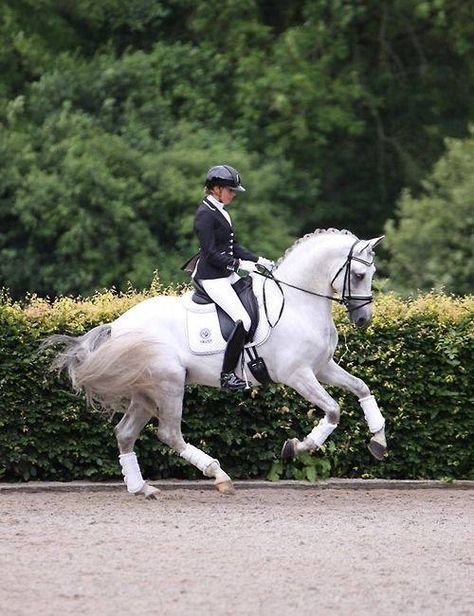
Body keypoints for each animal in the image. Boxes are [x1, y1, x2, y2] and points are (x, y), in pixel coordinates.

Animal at [49, 229, 388, 498]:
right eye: (358, 275)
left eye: (370, 275)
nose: (363, 319)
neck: (296, 303)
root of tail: (118, 327)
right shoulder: (298, 375)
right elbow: (333, 410)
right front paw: (297, 446)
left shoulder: (321, 368)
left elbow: (361, 388)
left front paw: (379, 440)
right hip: (169, 382)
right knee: (169, 434)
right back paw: (218, 475)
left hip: (146, 392)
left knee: (125, 433)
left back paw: (141, 488)